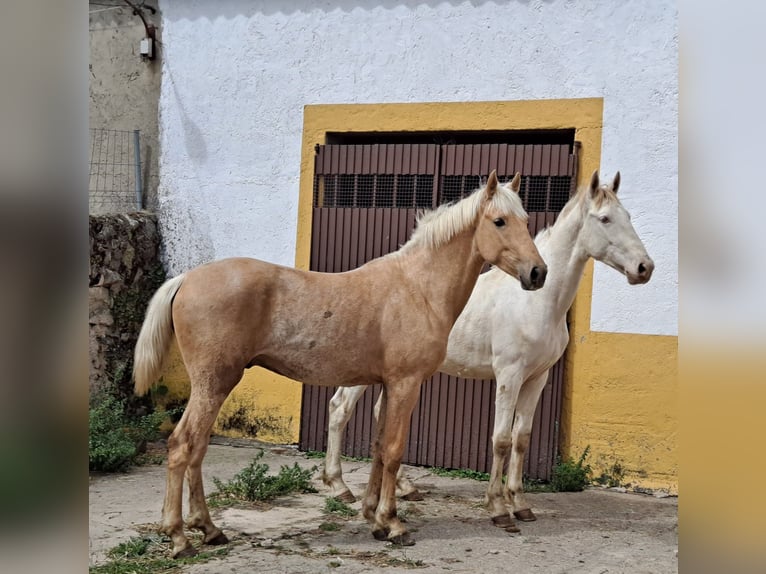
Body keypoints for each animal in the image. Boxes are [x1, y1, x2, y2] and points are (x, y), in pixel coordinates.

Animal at [135, 171, 548, 560]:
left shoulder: (387, 384)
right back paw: (179, 538)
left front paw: (374, 518)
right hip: (214, 383)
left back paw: (209, 529)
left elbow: (379, 448)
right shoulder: (406, 383)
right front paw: (393, 524)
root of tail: (186, 278)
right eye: (499, 221)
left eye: (526, 219)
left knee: (198, 448)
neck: (417, 287)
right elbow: (394, 451)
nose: (538, 273)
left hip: (215, 386)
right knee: (183, 446)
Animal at [320, 171, 656, 536]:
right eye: (605, 219)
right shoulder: (510, 375)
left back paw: (405, 488)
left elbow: (522, 439)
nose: (645, 268)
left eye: (628, 217)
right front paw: (498, 509)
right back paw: (339, 486)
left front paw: (520, 504)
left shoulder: (537, 378)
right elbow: (501, 440)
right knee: (340, 410)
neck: (539, 303)